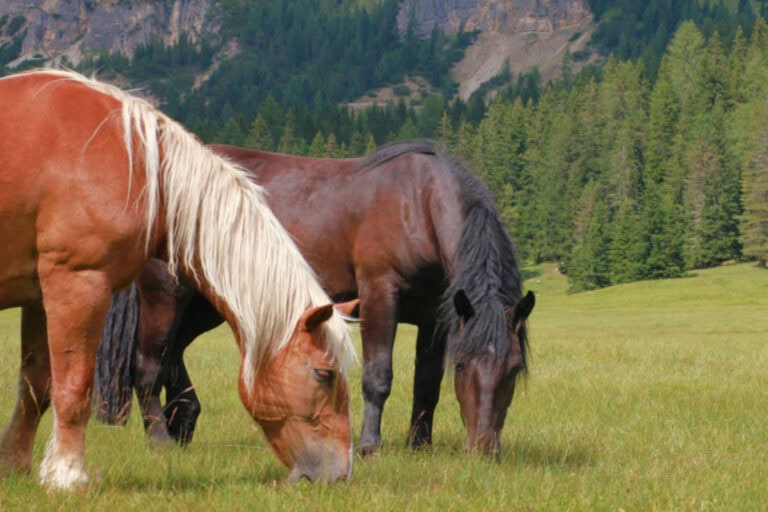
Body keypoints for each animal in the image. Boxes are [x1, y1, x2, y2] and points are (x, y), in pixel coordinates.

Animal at [0, 70, 356, 490]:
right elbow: (74, 386)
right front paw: (68, 477)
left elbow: (36, 385)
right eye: (325, 375)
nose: (339, 474)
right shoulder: (77, 282)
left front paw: (15, 465)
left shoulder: (40, 294)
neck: (131, 160)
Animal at [96, 141, 535, 457]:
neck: (419, 203)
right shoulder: (379, 293)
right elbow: (378, 376)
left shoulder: (437, 316)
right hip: (166, 292)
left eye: (514, 368)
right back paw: (160, 439)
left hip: (203, 305)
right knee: (148, 364)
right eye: (462, 366)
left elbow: (426, 384)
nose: (484, 449)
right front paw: (369, 446)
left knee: (172, 354)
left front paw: (419, 445)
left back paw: (183, 422)